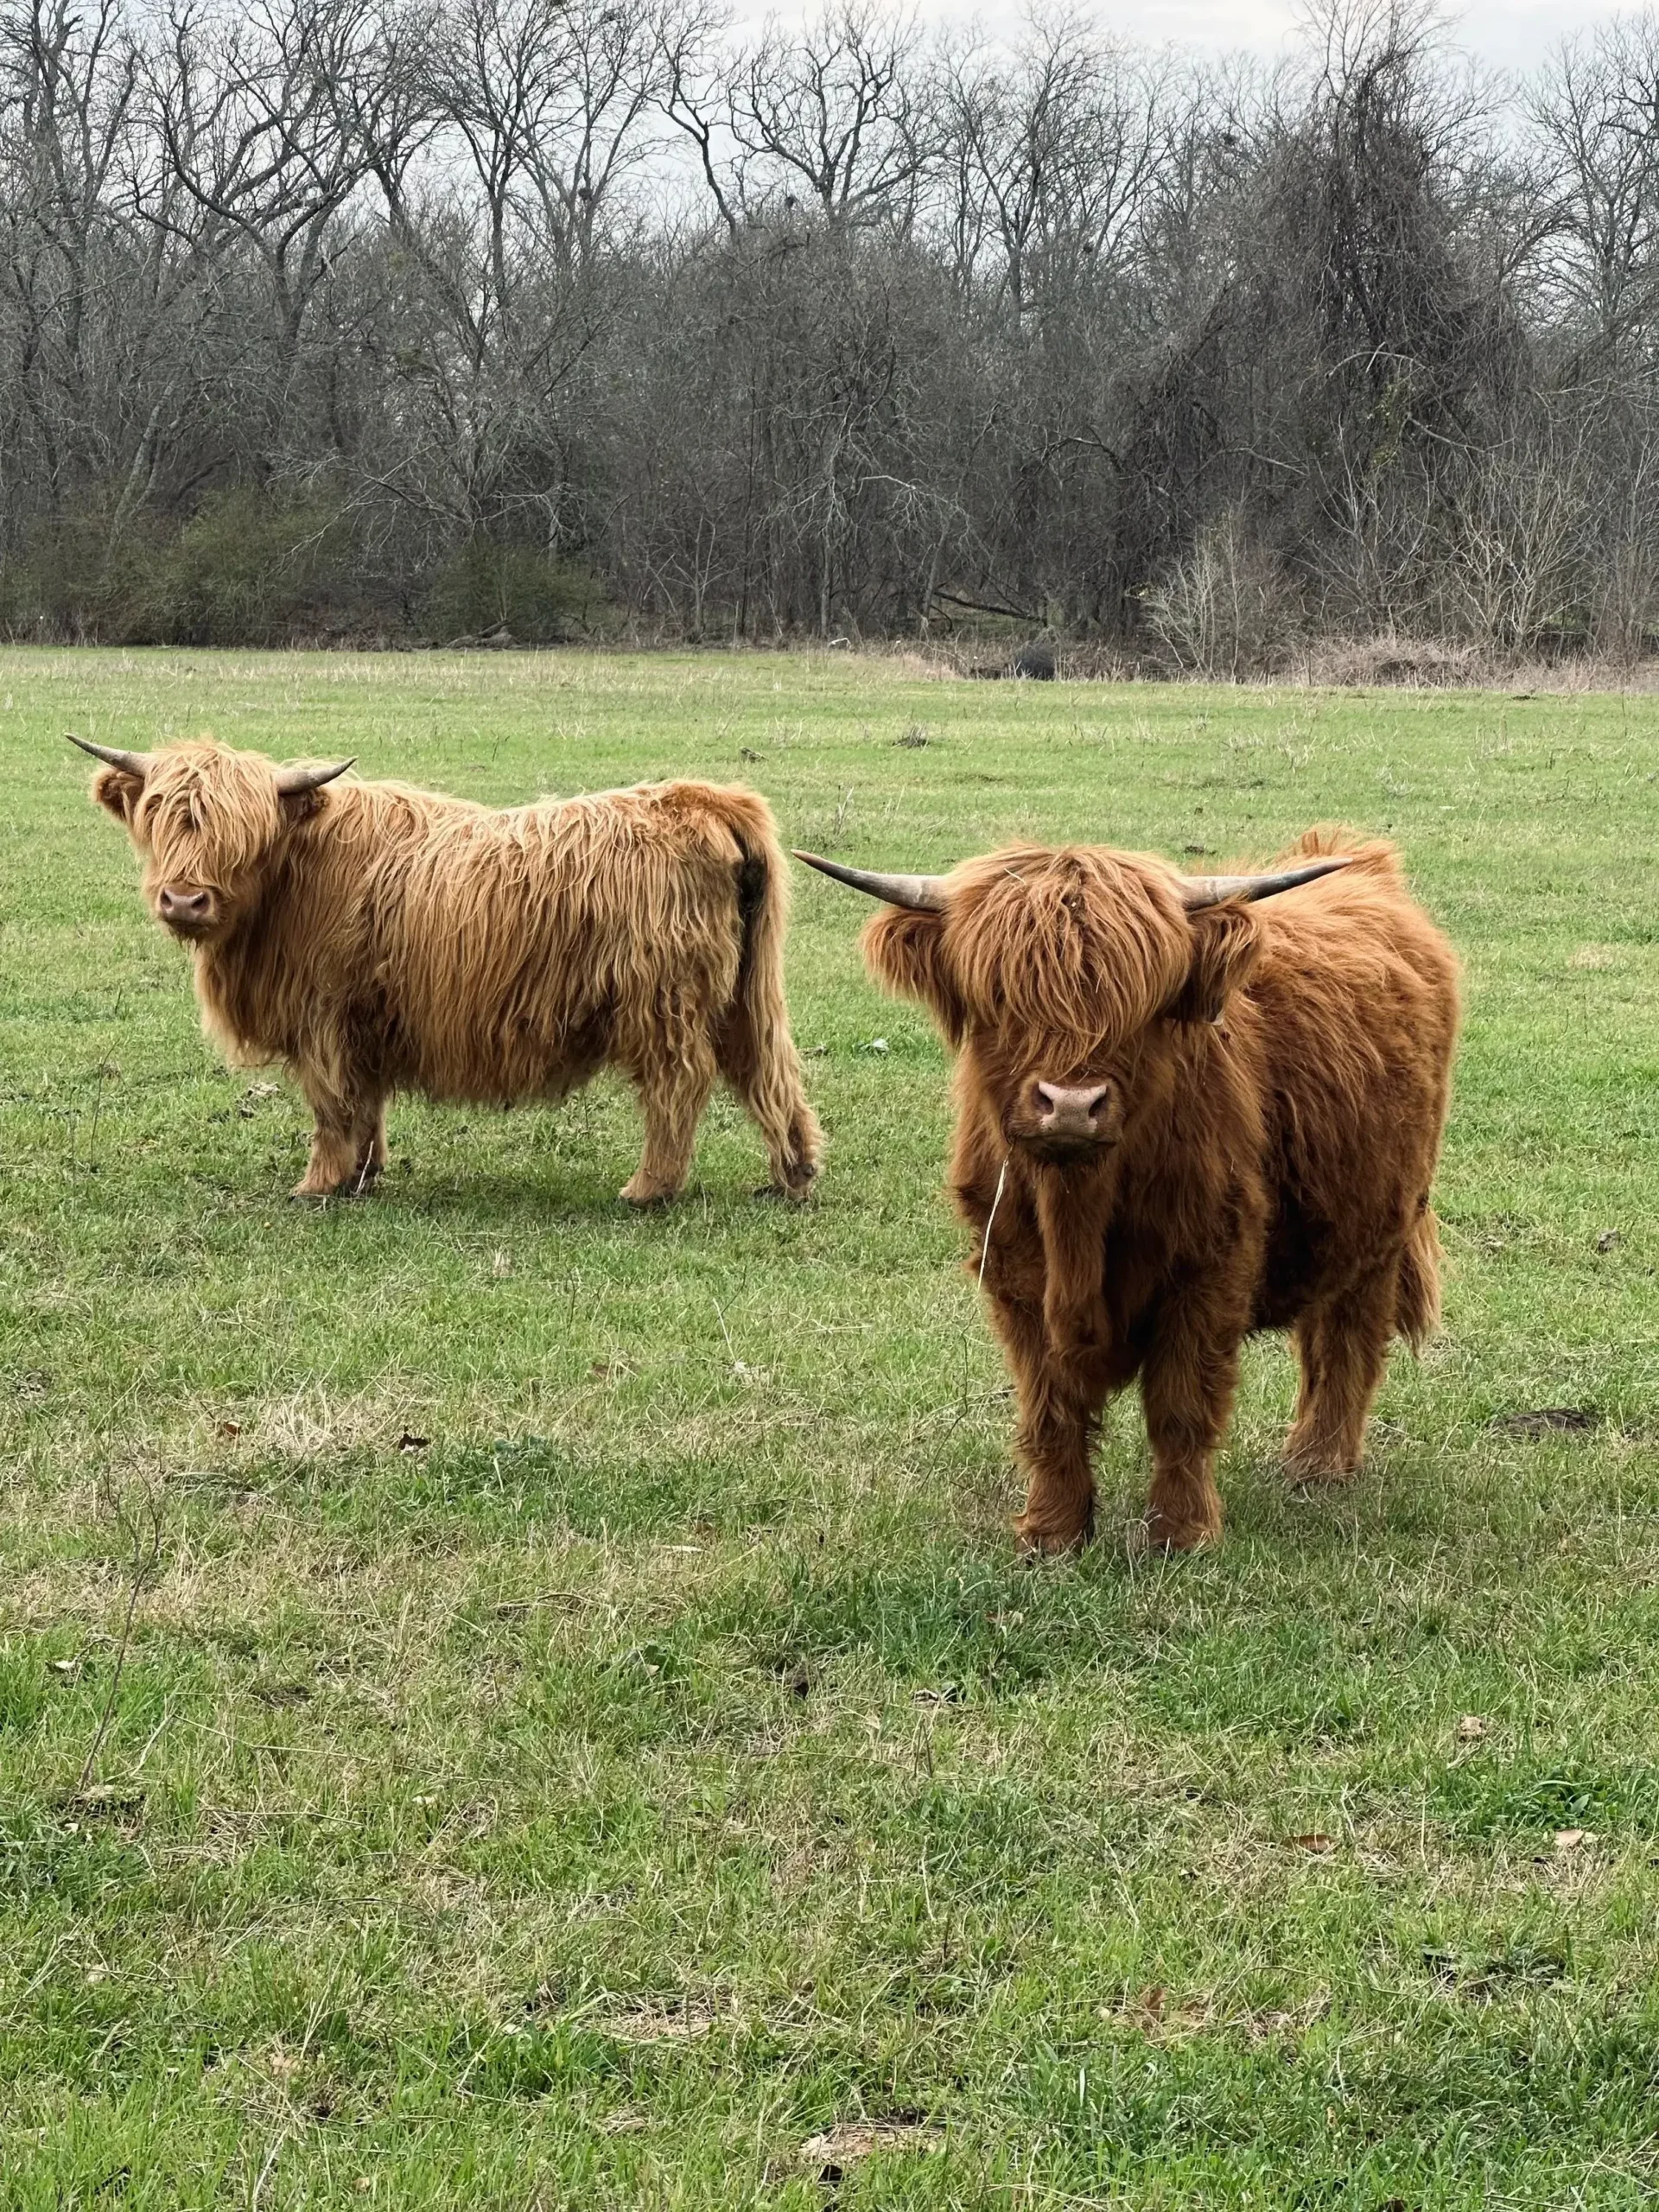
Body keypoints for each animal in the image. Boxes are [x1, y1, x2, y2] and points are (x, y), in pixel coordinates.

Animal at [72, 735, 822, 1206]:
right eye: (158, 815)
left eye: (244, 830)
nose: (184, 900)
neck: (291, 876)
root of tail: (705, 799)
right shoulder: (362, 1021)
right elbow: (366, 1103)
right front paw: (364, 1174)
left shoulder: (323, 1018)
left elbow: (331, 1105)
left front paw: (319, 1184)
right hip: (749, 993)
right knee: (769, 1069)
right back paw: (793, 1175)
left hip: (662, 1002)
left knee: (680, 1083)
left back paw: (648, 1190)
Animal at [797, 833, 1458, 1552]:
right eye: (998, 996)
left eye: (1141, 1004)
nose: (1070, 1105)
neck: (1076, 1211)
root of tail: (1354, 858)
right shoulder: (1012, 1273)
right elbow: (1050, 1410)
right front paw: (1052, 1532)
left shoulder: (1210, 1266)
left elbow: (1181, 1406)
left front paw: (1181, 1533)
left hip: (1384, 1228)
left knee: (1348, 1339)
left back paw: (1319, 1463)